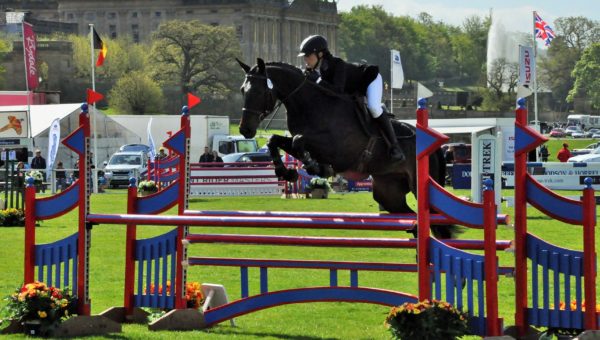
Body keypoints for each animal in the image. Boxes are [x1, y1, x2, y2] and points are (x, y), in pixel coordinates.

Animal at [238, 58, 454, 238]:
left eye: (260, 91)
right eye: (242, 90)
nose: (245, 129)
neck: (311, 104)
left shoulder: (338, 150)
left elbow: (299, 141)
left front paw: (316, 167)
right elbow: (275, 140)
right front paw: (286, 172)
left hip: (418, 186)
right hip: (388, 191)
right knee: (412, 218)